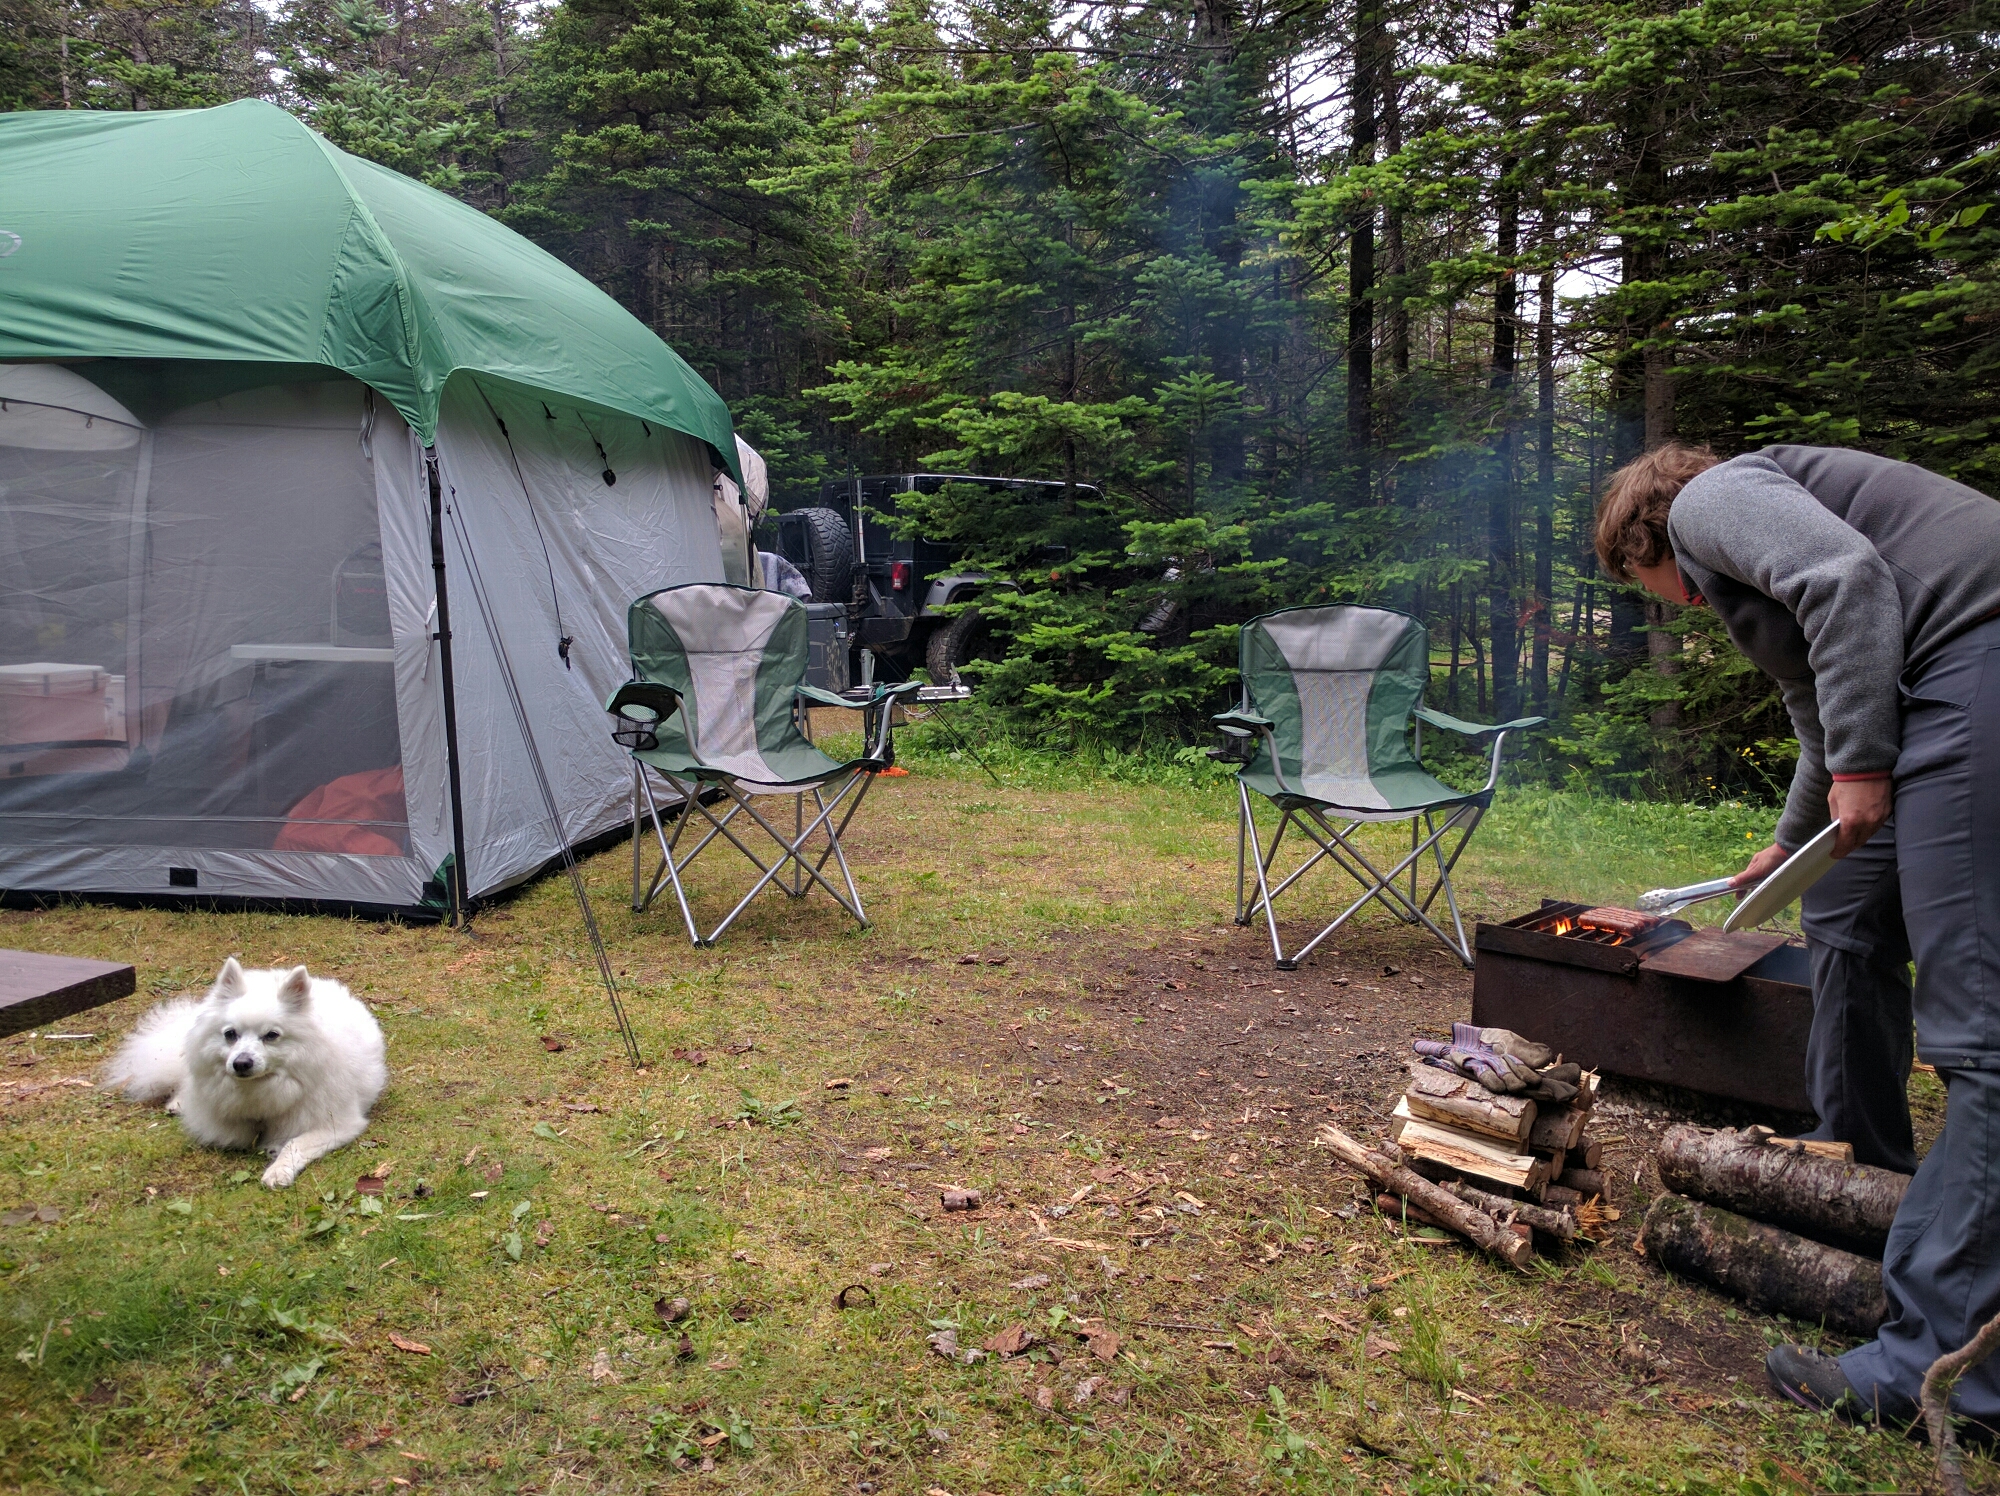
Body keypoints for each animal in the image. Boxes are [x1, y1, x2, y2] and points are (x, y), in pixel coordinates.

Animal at [106, 960, 390, 1192]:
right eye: (230, 1034)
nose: (241, 1063)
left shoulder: (337, 1124)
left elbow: (294, 1143)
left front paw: (278, 1168)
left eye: (272, 1035)